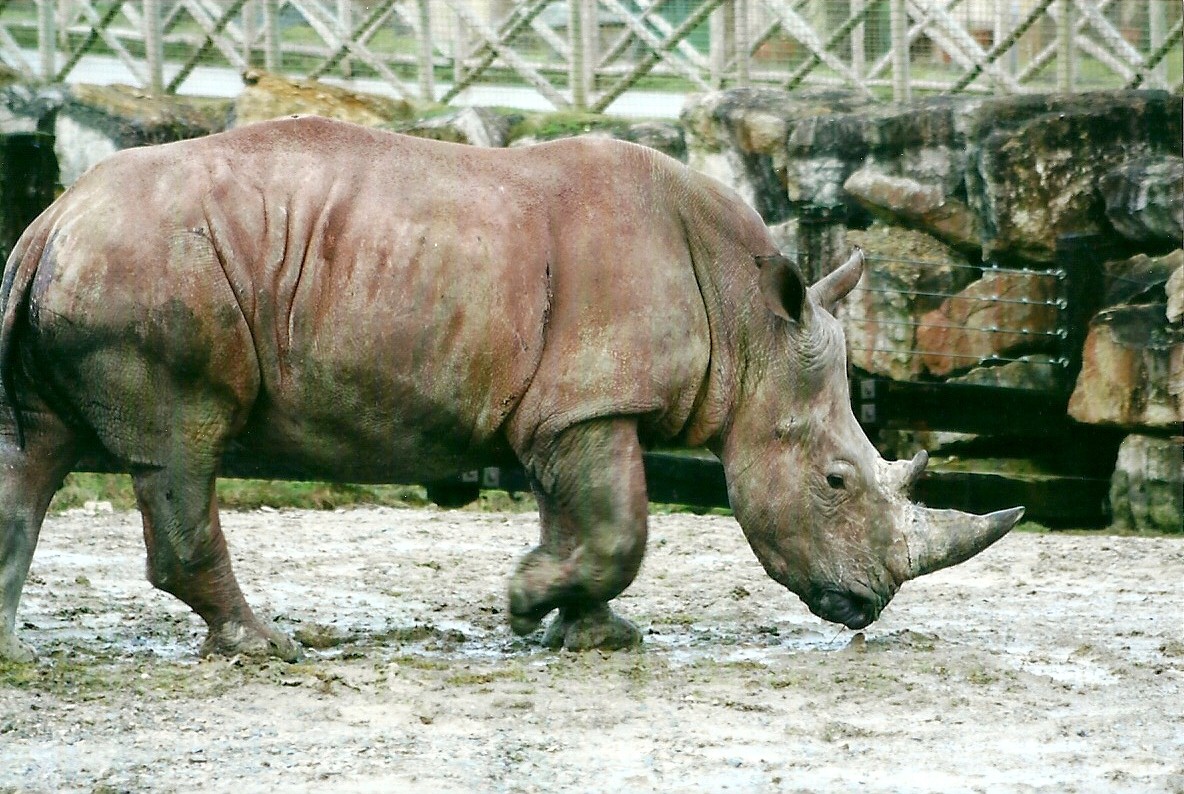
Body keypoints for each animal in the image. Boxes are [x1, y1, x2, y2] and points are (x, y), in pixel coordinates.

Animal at [0, 116, 1022, 662]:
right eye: (837, 482)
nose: (868, 607)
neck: (748, 323)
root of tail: (48, 219)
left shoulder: (562, 410)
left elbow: (581, 523)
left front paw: (590, 633)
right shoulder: (592, 403)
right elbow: (620, 529)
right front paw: (529, 604)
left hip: (100, 268)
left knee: (36, 453)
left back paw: (11, 653)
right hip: (151, 274)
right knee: (180, 448)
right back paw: (266, 649)